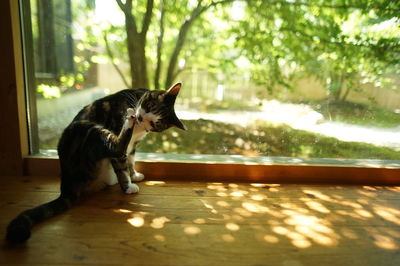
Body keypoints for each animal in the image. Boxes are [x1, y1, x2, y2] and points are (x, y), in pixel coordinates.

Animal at [5, 82, 186, 243]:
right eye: (150, 106)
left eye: (155, 122)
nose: (141, 117)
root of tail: (66, 183)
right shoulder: (116, 129)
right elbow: (121, 165)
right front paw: (128, 186)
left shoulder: (134, 144)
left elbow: (130, 159)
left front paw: (134, 175)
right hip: (88, 128)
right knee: (116, 147)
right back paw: (129, 119)